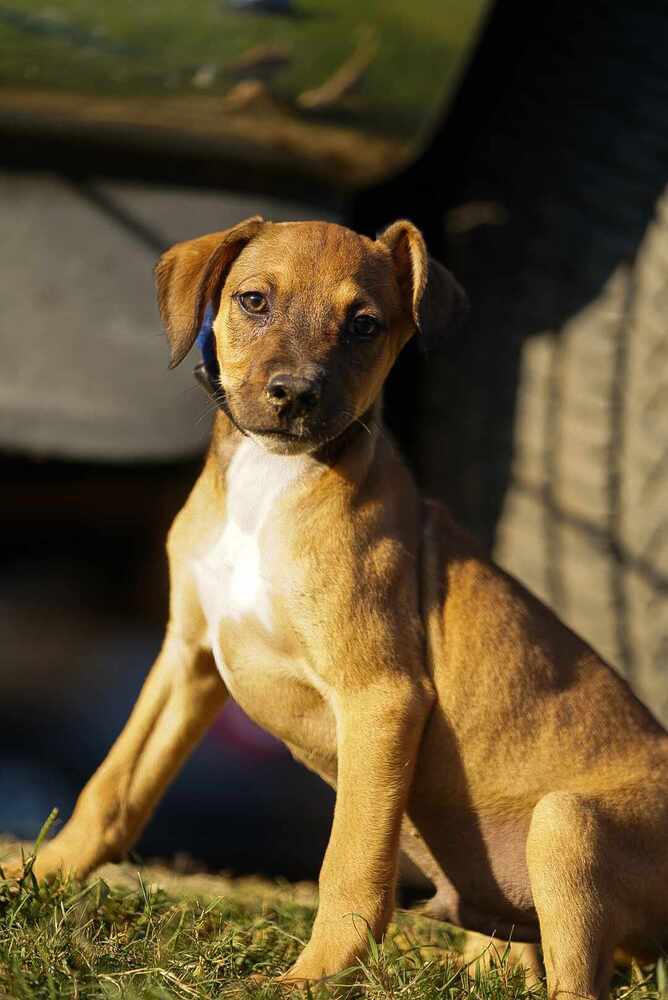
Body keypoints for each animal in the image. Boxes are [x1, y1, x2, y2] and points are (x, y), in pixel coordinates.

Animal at [15, 217, 668, 992]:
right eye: (254, 300)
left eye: (364, 325)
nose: (294, 393)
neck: (271, 483)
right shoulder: (189, 655)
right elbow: (113, 785)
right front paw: (39, 876)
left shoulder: (381, 698)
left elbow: (350, 863)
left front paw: (312, 977)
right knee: (516, 962)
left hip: (568, 823)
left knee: (575, 981)